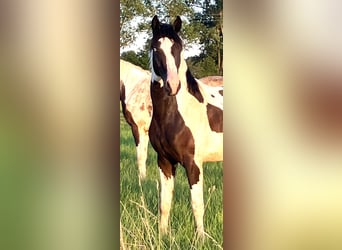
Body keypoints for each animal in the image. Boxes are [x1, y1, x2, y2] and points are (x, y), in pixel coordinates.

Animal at [148, 15, 223, 236]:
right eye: (155, 47)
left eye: (178, 48)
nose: (172, 85)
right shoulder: (164, 161)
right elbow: (164, 203)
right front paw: (162, 235)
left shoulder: (193, 163)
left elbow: (197, 205)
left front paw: (201, 238)